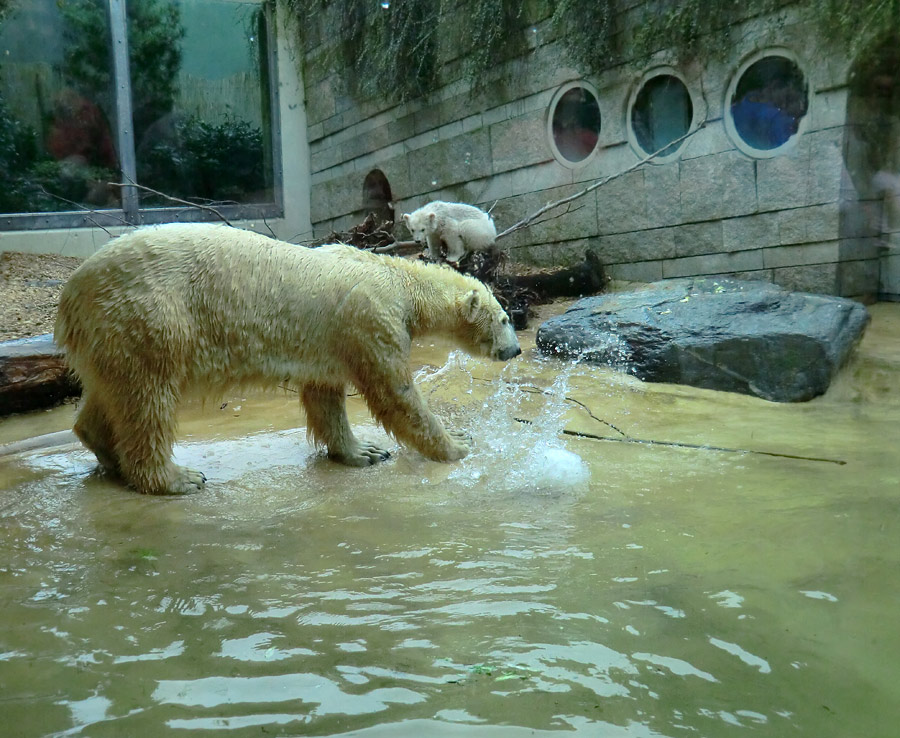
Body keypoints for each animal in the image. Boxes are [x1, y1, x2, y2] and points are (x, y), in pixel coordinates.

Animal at [54, 221, 520, 492]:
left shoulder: (331, 339)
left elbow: (325, 396)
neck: (396, 278)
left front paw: (363, 451)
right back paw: (175, 477)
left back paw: (106, 452)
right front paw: (456, 443)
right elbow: (394, 393)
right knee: (147, 397)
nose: (515, 349)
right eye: (503, 317)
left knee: (112, 391)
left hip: (110, 333)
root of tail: (70, 293)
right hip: (150, 315)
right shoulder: (370, 318)